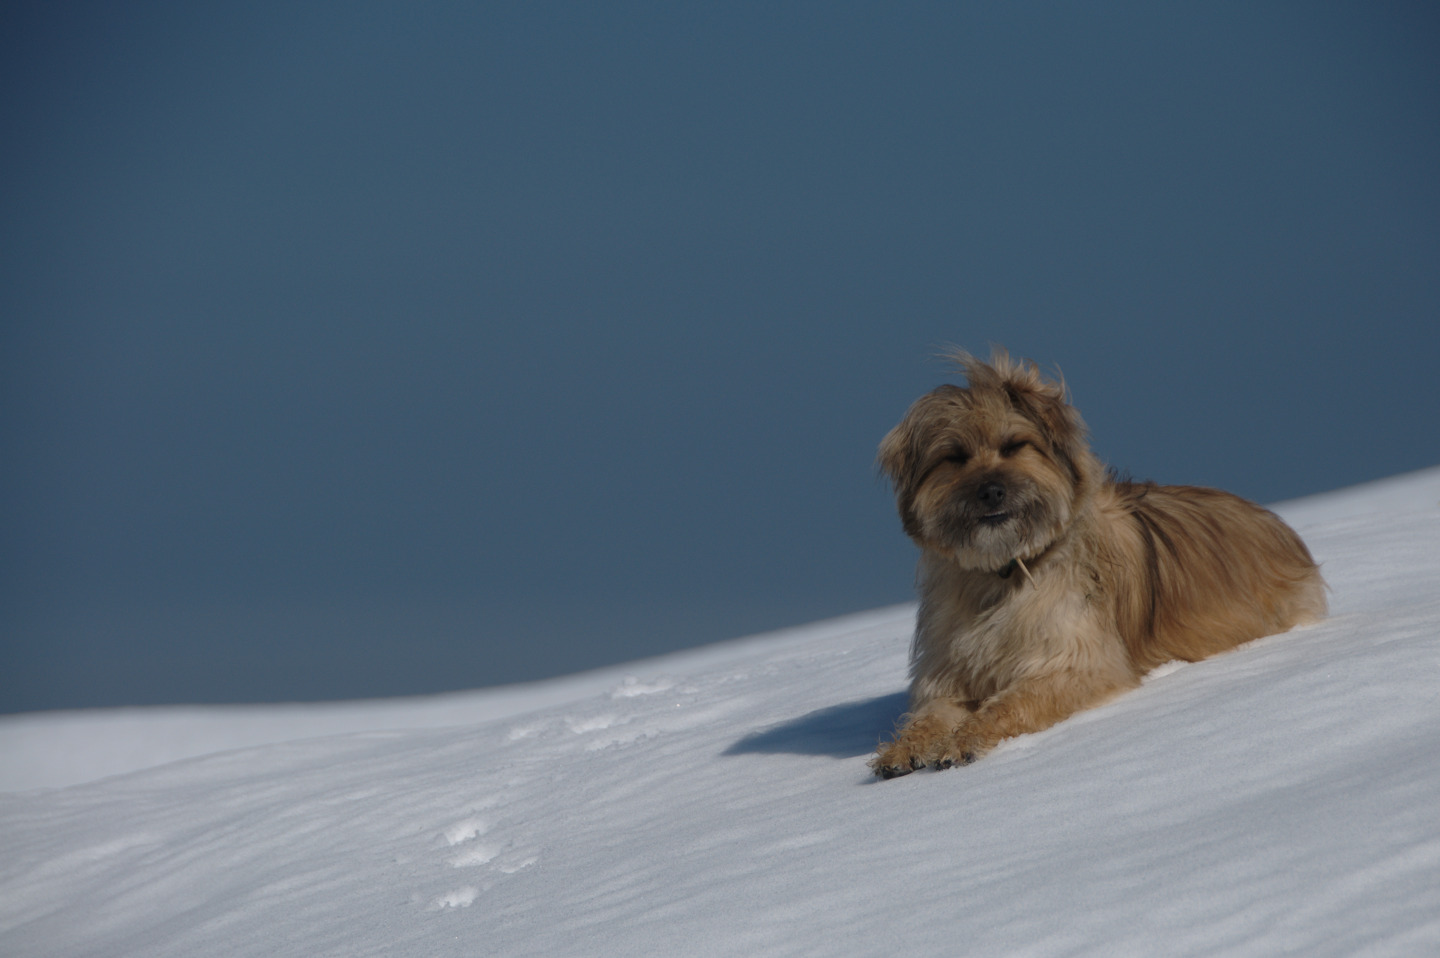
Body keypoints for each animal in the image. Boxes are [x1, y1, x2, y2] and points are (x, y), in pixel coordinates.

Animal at [869, 351, 1319, 777]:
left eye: (1014, 446)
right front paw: (905, 747)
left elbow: (1011, 701)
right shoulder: (946, 672)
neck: (1005, 572)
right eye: (954, 457)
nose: (991, 492)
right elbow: (930, 713)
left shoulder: (1077, 662)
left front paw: (967, 737)